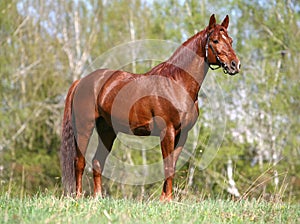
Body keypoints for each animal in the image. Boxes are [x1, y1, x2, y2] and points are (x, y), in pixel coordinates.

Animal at [59, 14, 240, 200]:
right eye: (215, 40)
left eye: (231, 41)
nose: (235, 65)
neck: (177, 83)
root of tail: (82, 81)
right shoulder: (167, 132)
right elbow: (167, 166)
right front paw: (167, 200)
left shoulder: (182, 134)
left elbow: (172, 166)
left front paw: (165, 199)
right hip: (84, 128)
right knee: (79, 162)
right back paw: (78, 197)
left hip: (107, 130)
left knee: (97, 162)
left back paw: (97, 198)